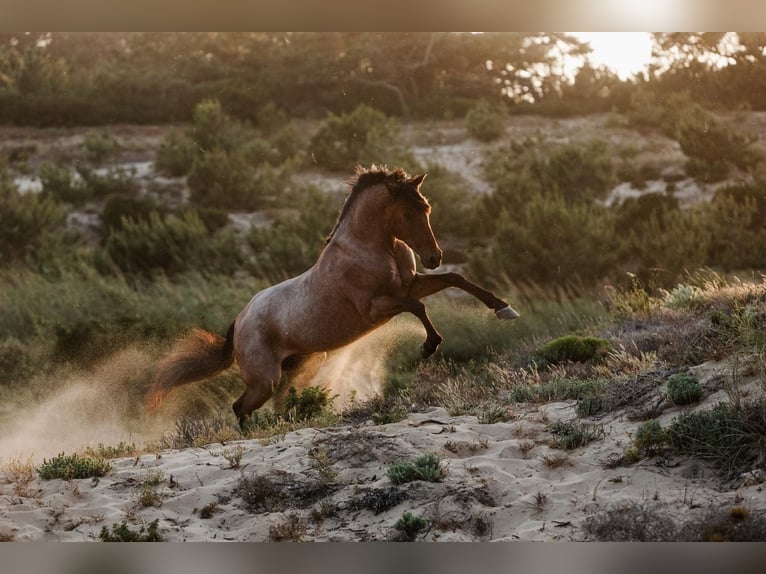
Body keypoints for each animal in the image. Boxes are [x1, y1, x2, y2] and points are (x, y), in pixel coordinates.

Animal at [148, 164, 520, 426]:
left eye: (426, 208)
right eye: (407, 213)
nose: (434, 257)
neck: (372, 247)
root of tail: (239, 321)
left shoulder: (410, 284)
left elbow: (457, 279)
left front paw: (503, 308)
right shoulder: (376, 307)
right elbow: (417, 307)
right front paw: (430, 345)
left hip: (302, 366)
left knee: (279, 402)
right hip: (264, 378)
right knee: (241, 407)